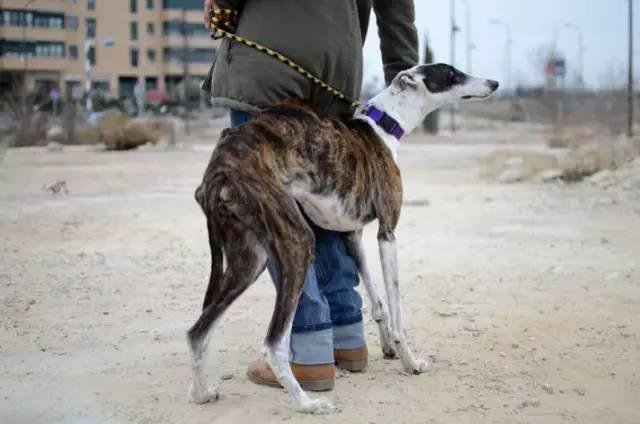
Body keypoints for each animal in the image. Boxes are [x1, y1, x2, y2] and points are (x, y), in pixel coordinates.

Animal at [187, 63, 499, 413]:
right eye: (453, 74)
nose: (494, 83)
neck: (383, 125)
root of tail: (218, 174)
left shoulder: (352, 234)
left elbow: (377, 301)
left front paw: (388, 346)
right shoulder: (387, 232)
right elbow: (396, 305)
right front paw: (409, 360)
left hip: (249, 258)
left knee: (197, 331)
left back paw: (201, 392)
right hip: (296, 242)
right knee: (273, 342)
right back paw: (307, 403)